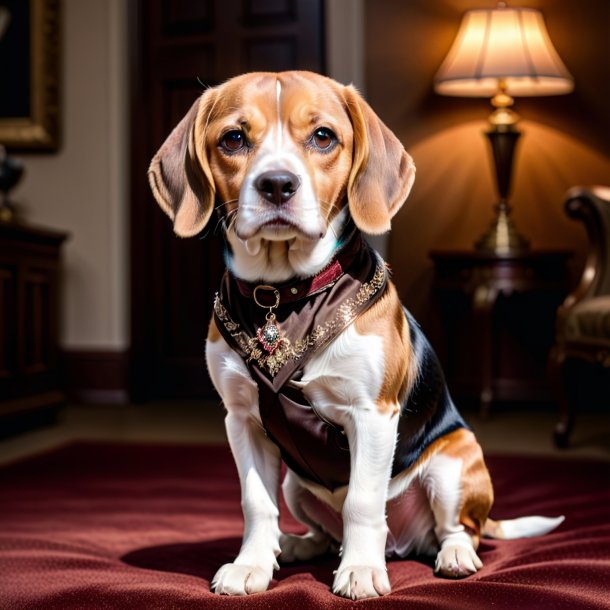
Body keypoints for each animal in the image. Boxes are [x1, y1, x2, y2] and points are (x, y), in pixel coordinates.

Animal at [146, 69, 560, 596]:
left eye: (323, 137)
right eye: (234, 139)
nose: (276, 184)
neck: (284, 297)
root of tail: (405, 544)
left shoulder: (373, 414)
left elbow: (362, 500)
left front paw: (361, 570)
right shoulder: (241, 420)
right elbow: (256, 504)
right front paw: (251, 565)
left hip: (453, 465)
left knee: (456, 528)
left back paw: (450, 555)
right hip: (295, 486)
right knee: (324, 530)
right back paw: (298, 546)